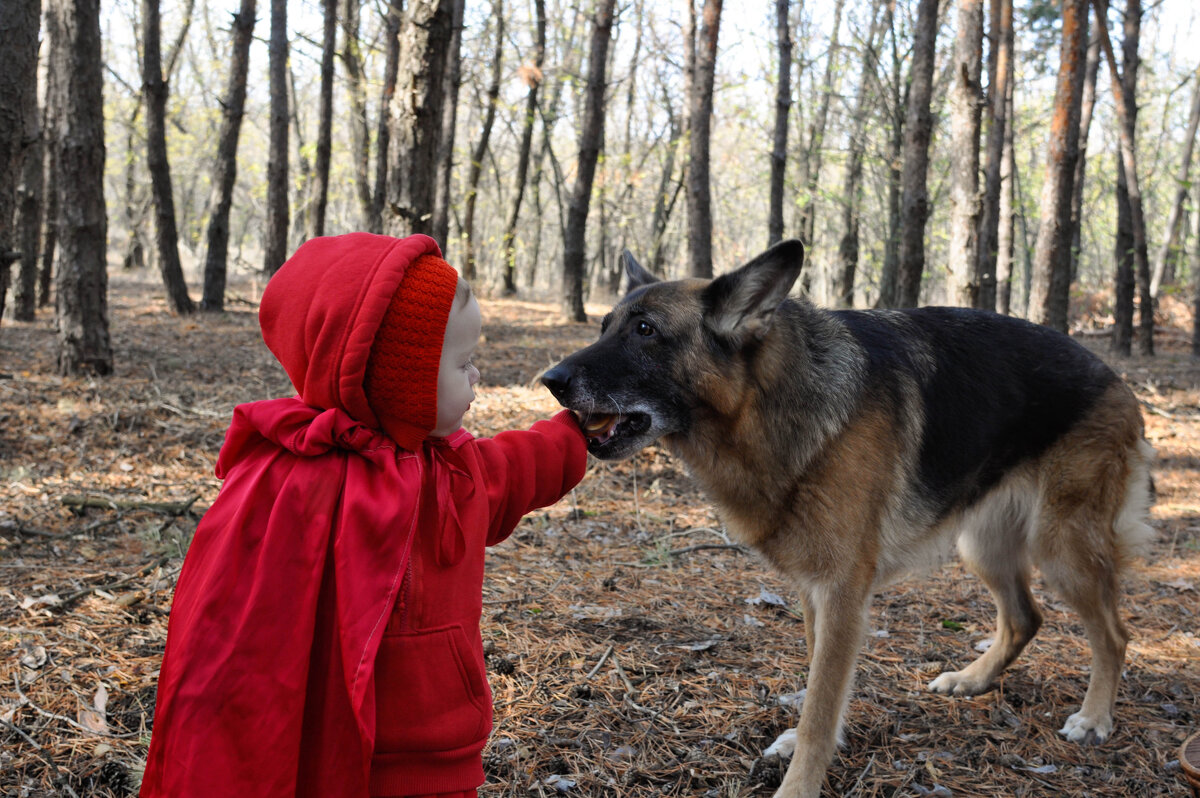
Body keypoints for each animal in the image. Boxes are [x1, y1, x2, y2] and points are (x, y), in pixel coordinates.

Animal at [542, 241, 1152, 796]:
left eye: (645, 330)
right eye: (604, 326)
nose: (550, 380)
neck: (768, 401)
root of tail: (1118, 379)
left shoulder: (841, 596)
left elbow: (820, 706)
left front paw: (797, 785)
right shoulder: (815, 591)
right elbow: (818, 687)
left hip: (1061, 548)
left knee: (1115, 635)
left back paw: (1095, 718)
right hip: (983, 546)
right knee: (1025, 618)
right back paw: (973, 679)